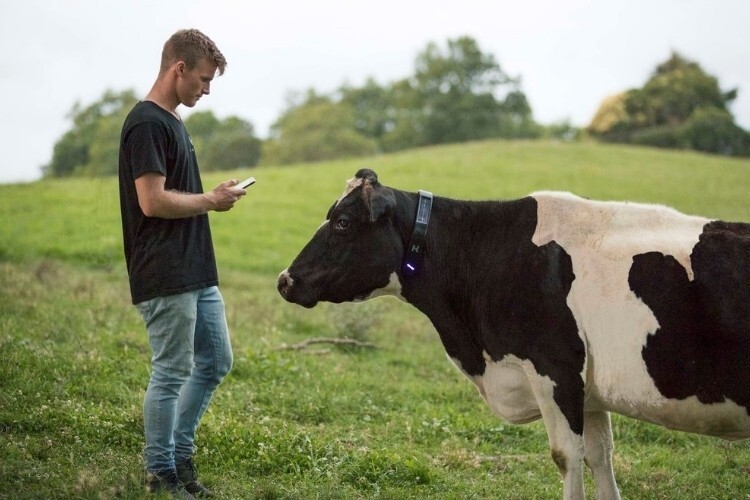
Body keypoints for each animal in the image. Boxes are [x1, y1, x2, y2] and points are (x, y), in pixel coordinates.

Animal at [280, 169, 750, 500]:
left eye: (342, 222)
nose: (286, 280)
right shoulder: (588, 389)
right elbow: (600, 456)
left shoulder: (553, 370)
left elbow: (567, 457)